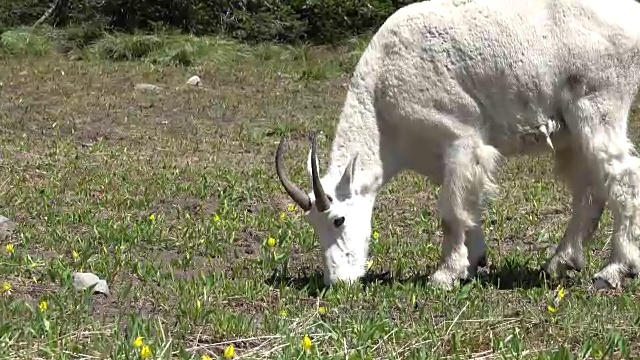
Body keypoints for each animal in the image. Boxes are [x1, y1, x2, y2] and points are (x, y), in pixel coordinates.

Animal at [276, 0, 640, 290]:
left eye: (339, 219)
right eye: (313, 224)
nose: (337, 281)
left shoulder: (461, 138)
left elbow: (450, 214)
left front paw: (444, 275)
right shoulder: (449, 161)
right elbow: (468, 207)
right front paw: (474, 260)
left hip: (597, 105)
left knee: (624, 178)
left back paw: (613, 271)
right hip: (571, 132)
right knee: (589, 191)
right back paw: (559, 263)